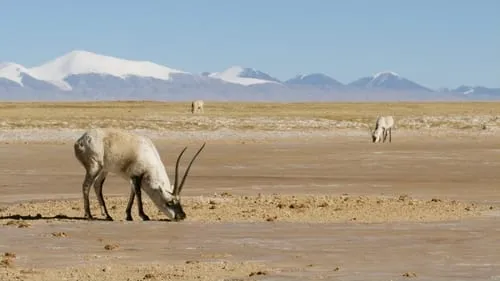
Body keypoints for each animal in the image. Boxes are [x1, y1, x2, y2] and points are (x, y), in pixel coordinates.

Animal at [73, 127, 205, 221]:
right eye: (169, 202)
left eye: (179, 201)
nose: (181, 216)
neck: (147, 153)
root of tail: (80, 140)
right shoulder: (136, 176)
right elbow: (138, 193)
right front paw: (143, 215)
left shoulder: (132, 177)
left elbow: (132, 194)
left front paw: (129, 216)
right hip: (94, 167)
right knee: (86, 186)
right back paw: (89, 215)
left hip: (104, 170)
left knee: (97, 185)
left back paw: (107, 215)